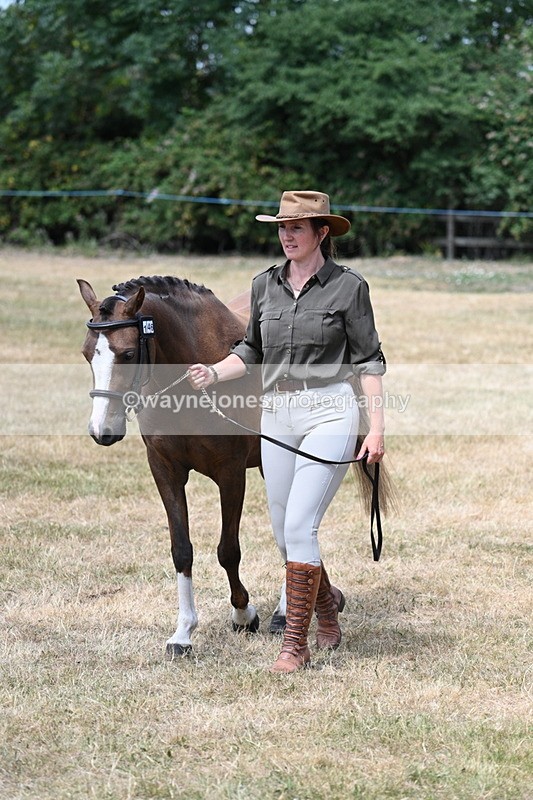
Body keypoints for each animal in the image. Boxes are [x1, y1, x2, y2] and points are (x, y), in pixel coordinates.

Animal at [78, 275, 265, 658]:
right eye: (87, 354)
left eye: (128, 354)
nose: (102, 430)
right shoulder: (165, 470)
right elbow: (182, 550)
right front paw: (183, 633)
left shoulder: (231, 473)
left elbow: (228, 550)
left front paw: (243, 614)